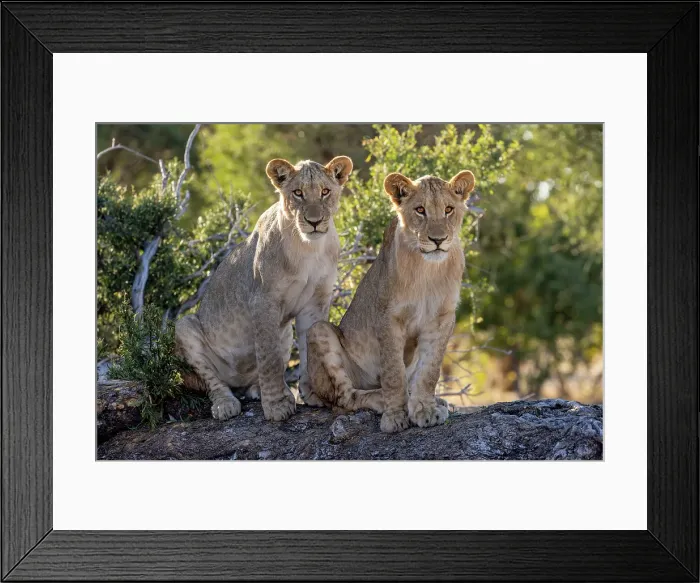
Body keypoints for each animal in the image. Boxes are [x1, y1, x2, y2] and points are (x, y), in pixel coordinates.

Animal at [175, 155, 353, 422]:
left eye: (325, 191)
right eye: (298, 193)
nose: (314, 221)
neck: (308, 248)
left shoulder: (316, 302)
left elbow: (309, 349)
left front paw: (311, 393)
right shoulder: (263, 300)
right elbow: (268, 357)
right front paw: (277, 405)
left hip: (285, 332)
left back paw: (258, 389)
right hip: (185, 327)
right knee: (213, 382)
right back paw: (226, 404)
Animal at [306, 169, 475, 433]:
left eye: (448, 209)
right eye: (420, 210)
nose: (438, 239)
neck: (428, 269)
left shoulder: (442, 318)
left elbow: (430, 371)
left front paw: (425, 409)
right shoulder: (388, 317)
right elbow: (394, 372)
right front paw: (395, 416)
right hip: (319, 332)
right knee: (344, 398)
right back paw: (379, 398)